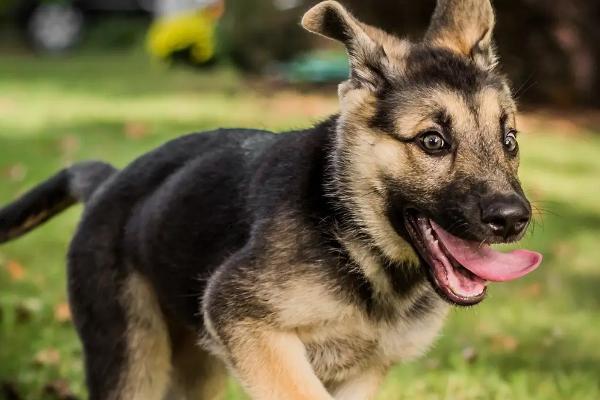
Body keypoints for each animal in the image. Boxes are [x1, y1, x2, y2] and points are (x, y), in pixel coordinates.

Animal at [1, 1, 544, 398]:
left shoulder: (362, 372)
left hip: (195, 362)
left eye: (510, 140)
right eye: (432, 141)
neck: (352, 239)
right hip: (132, 354)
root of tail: (108, 182)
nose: (513, 220)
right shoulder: (248, 324)